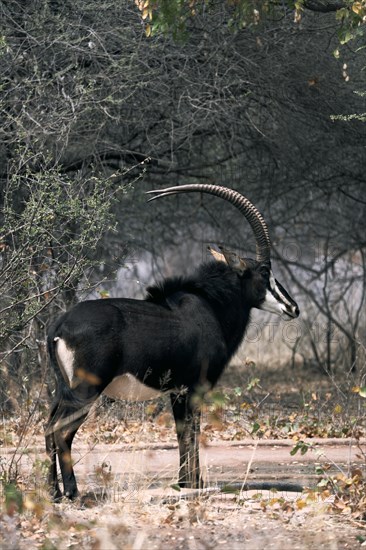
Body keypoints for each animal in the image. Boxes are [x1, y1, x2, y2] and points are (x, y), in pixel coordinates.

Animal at [45, 185, 298, 500]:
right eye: (265, 273)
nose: (293, 308)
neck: (211, 306)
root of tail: (59, 325)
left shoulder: (177, 391)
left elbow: (181, 433)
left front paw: (184, 483)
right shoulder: (194, 388)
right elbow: (192, 432)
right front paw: (195, 484)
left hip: (63, 388)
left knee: (48, 428)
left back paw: (53, 492)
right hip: (86, 390)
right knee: (61, 430)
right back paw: (72, 492)